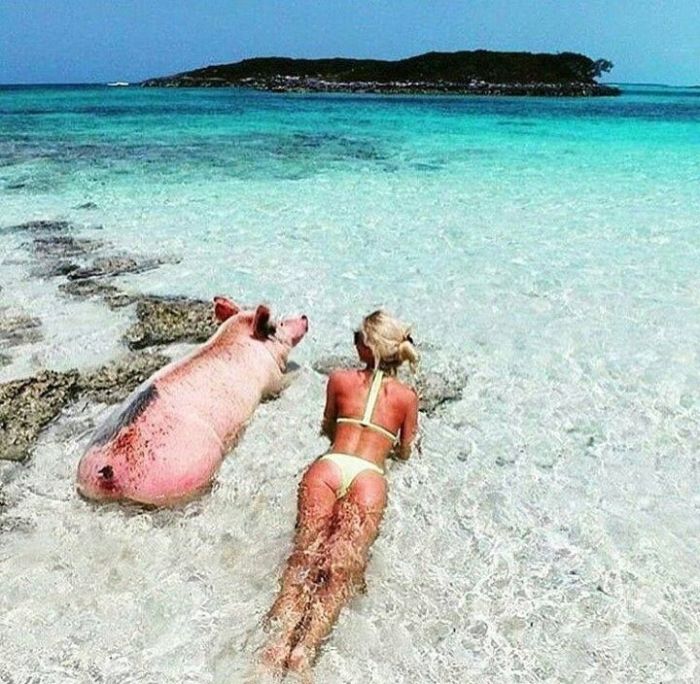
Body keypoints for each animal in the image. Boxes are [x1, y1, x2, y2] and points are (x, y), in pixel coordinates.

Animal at [76, 296, 308, 506]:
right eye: (277, 325)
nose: (304, 316)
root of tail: (107, 467)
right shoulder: (271, 379)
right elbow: (282, 383)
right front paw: (301, 370)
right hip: (185, 467)